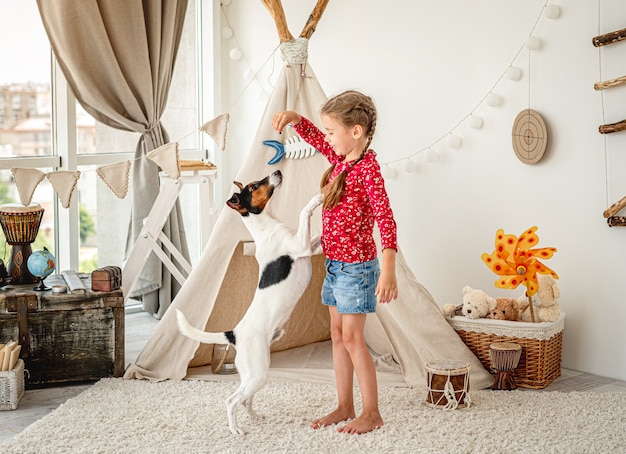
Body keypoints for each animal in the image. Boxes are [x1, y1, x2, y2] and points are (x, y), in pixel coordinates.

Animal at [177, 169, 320, 432]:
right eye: (253, 187)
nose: (277, 171)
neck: (266, 226)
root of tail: (234, 333)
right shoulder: (300, 246)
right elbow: (304, 212)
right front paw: (317, 199)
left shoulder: (308, 248)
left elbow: (317, 236)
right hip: (258, 372)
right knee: (232, 400)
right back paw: (235, 429)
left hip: (254, 373)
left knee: (245, 399)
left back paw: (255, 417)